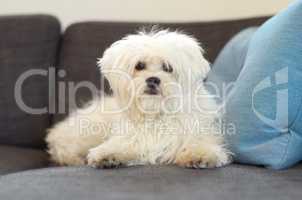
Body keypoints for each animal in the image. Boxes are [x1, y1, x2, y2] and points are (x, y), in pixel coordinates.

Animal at [46, 28, 231, 168]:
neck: (156, 113)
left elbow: (198, 142)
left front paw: (200, 154)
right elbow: (123, 145)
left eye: (168, 68)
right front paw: (108, 154)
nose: (153, 79)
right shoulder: (132, 138)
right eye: (140, 65)